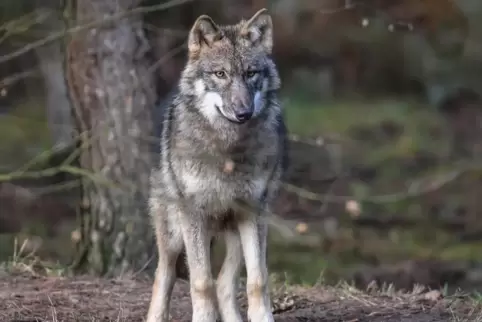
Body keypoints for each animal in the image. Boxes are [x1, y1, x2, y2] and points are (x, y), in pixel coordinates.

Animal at [146, 8, 286, 322]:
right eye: (220, 74)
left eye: (250, 73)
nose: (244, 113)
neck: (228, 150)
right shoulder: (193, 214)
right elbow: (200, 282)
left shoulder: (253, 211)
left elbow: (258, 280)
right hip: (175, 231)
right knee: (165, 274)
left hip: (234, 229)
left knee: (224, 283)